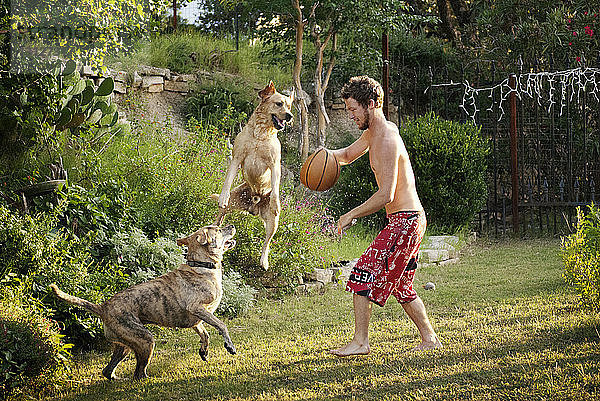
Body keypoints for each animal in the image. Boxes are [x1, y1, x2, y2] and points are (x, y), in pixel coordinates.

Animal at [49, 223, 237, 380]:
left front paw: (204, 351)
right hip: (145, 339)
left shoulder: (197, 319)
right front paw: (229, 346)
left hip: (124, 344)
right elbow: (221, 325)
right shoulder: (196, 307)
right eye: (218, 229)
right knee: (139, 373)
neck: (201, 265)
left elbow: (205, 334)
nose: (232, 225)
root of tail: (102, 307)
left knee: (108, 371)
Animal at [214, 81, 294, 268]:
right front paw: (223, 195)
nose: (290, 116)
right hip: (232, 203)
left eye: (289, 106)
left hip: (273, 223)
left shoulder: (275, 165)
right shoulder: (237, 158)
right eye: (279, 104)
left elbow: (275, 188)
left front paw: (276, 203)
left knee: (267, 242)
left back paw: (264, 260)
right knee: (220, 217)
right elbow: (227, 180)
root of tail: (254, 207)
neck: (261, 134)